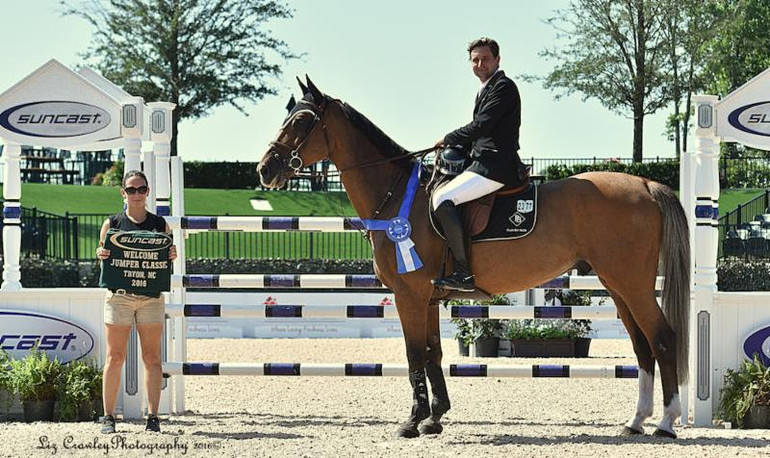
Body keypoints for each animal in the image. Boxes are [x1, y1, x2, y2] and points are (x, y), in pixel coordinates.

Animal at [258, 77, 688, 438]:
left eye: (301, 121)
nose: (265, 169)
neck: (397, 196)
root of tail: (646, 184)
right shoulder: (427, 299)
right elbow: (432, 353)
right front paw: (435, 418)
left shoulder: (408, 295)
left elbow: (414, 354)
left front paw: (412, 422)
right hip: (617, 285)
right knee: (643, 346)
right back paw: (635, 422)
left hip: (632, 284)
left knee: (663, 339)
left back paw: (666, 424)